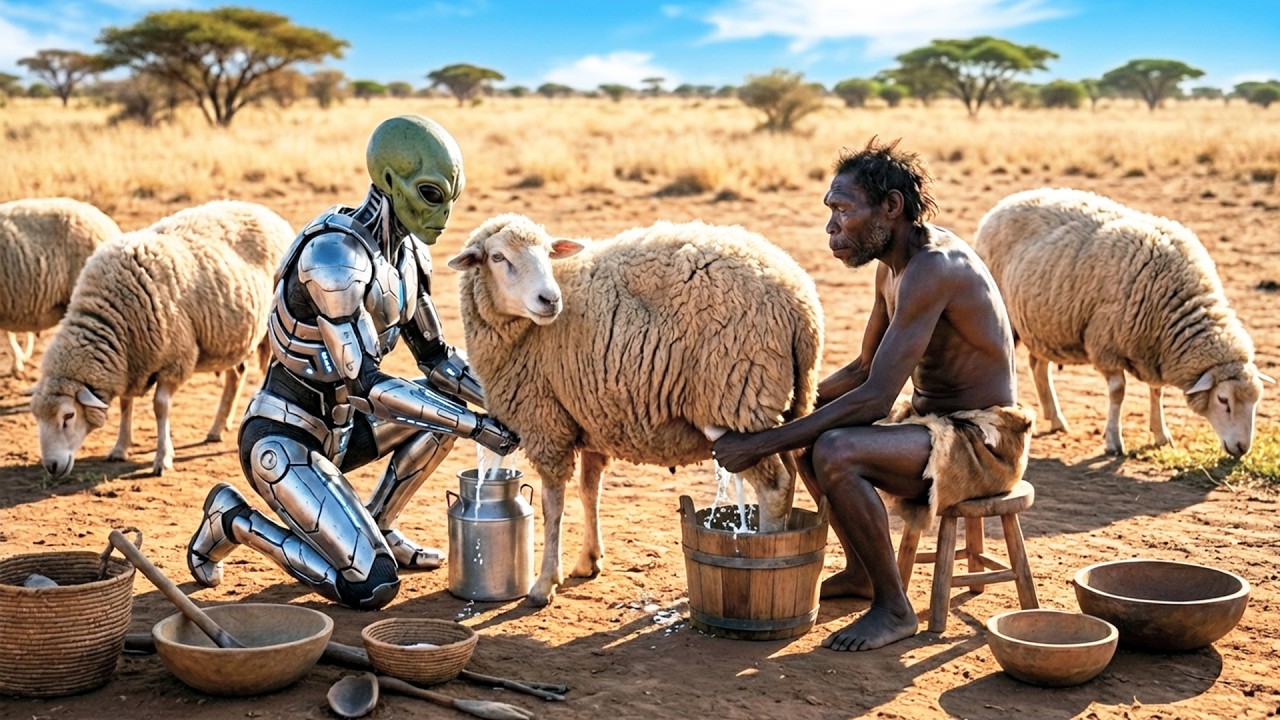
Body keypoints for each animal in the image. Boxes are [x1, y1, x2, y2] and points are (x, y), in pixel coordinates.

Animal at [30, 200, 292, 477]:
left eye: (68, 416)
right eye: (37, 417)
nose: (52, 466)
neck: (112, 316)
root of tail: (262, 209)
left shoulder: (175, 360)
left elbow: (160, 407)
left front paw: (162, 458)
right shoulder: (131, 362)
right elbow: (125, 404)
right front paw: (120, 448)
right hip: (229, 339)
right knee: (236, 375)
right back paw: (217, 428)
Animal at [448, 213, 824, 606]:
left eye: (548, 252)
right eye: (497, 257)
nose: (549, 300)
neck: (525, 333)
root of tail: (800, 302)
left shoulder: (545, 420)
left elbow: (553, 506)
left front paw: (544, 583)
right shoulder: (590, 416)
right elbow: (589, 492)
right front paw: (589, 560)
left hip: (739, 401)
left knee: (775, 486)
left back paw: (767, 550)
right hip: (779, 405)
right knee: (789, 476)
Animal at [972, 187, 1270, 457]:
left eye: (1256, 400)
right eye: (1223, 399)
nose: (1242, 449)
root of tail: (1005, 202)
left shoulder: (1154, 350)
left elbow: (1156, 391)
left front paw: (1161, 434)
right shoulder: (1107, 346)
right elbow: (1118, 392)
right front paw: (1114, 441)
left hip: (1042, 322)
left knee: (1038, 365)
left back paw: (1055, 419)